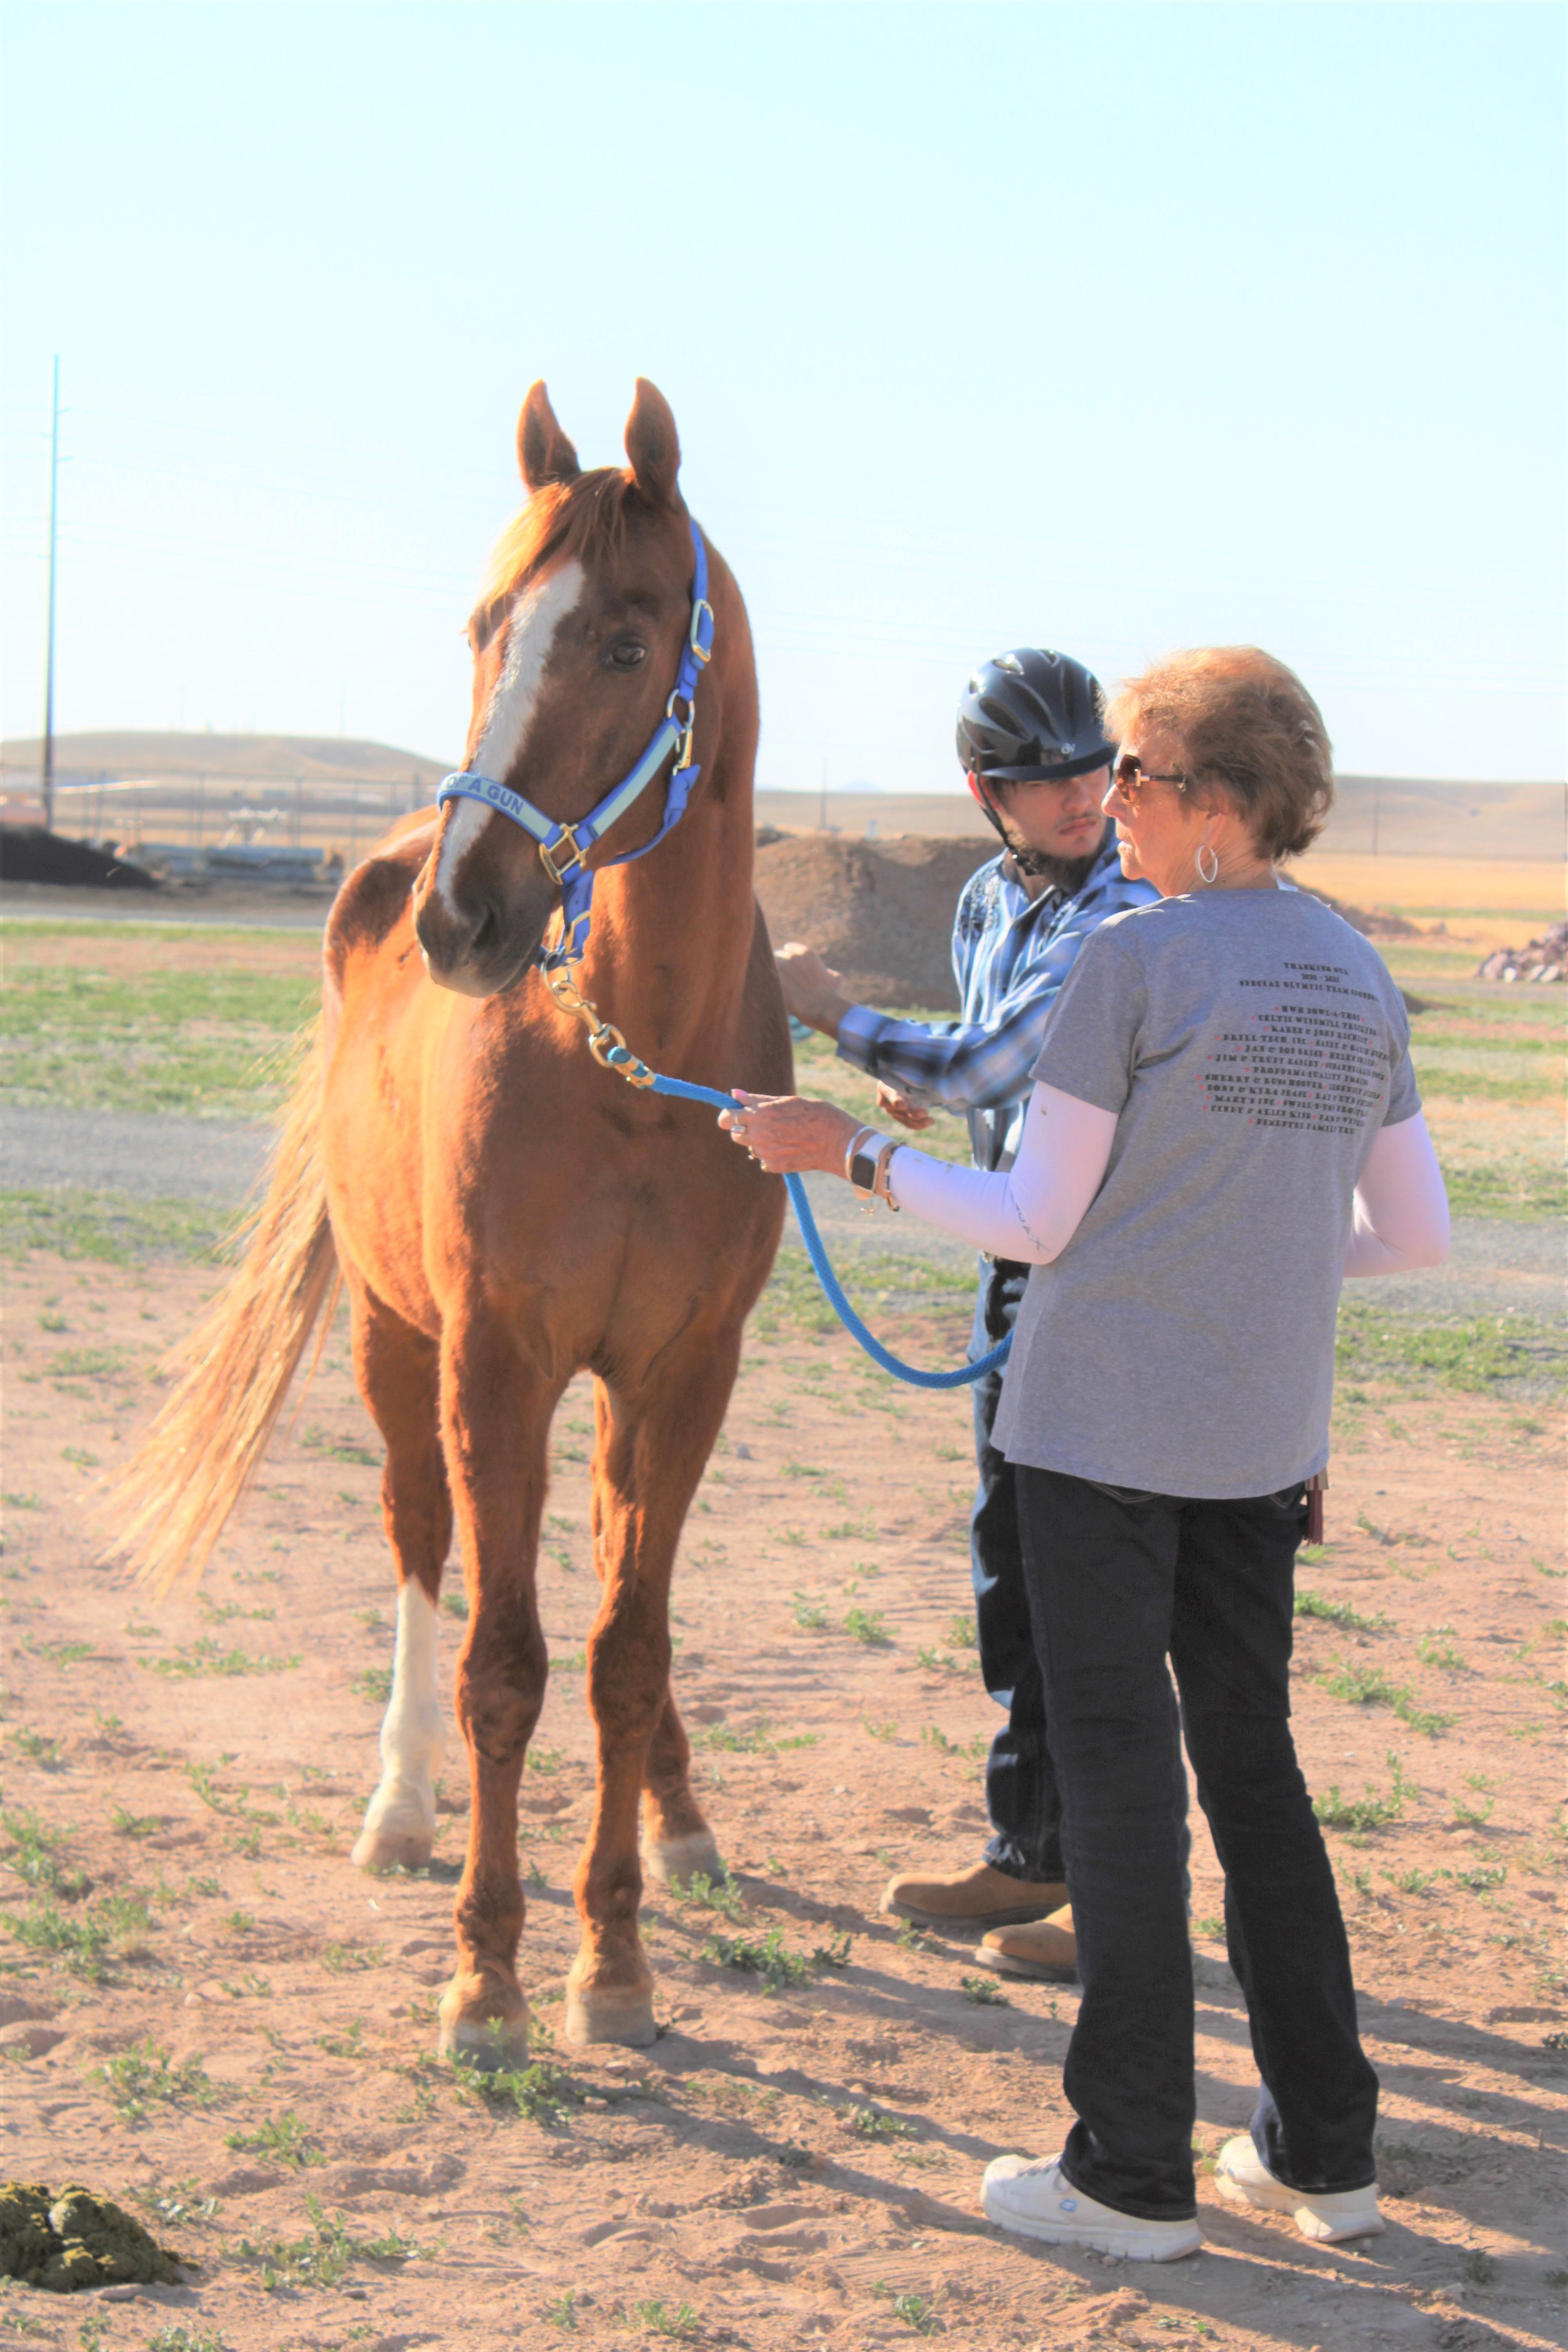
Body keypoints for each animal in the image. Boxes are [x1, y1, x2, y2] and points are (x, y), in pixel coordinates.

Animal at [115, 376, 790, 2051]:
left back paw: (681, 1824)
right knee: (420, 1541)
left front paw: (612, 1959)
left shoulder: (685, 1372)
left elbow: (624, 1655)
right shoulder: (496, 1361)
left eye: (625, 641)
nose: (462, 920)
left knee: (612, 1582)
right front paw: (487, 1971)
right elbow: (502, 1664)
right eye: (487, 624)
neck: (636, 1060)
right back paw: (403, 1804)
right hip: (390, 1335)